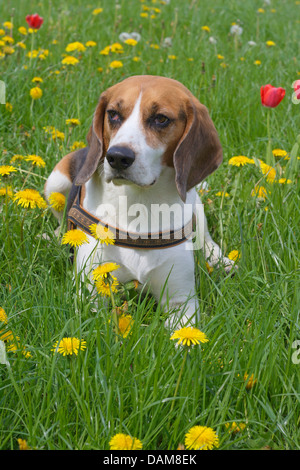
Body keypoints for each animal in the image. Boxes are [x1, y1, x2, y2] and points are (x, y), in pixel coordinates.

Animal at [44, 76, 233, 326]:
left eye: (161, 119)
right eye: (113, 114)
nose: (117, 157)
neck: (139, 203)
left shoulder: (182, 301)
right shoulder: (90, 295)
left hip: (195, 202)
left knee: (206, 237)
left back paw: (221, 260)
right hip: (55, 182)